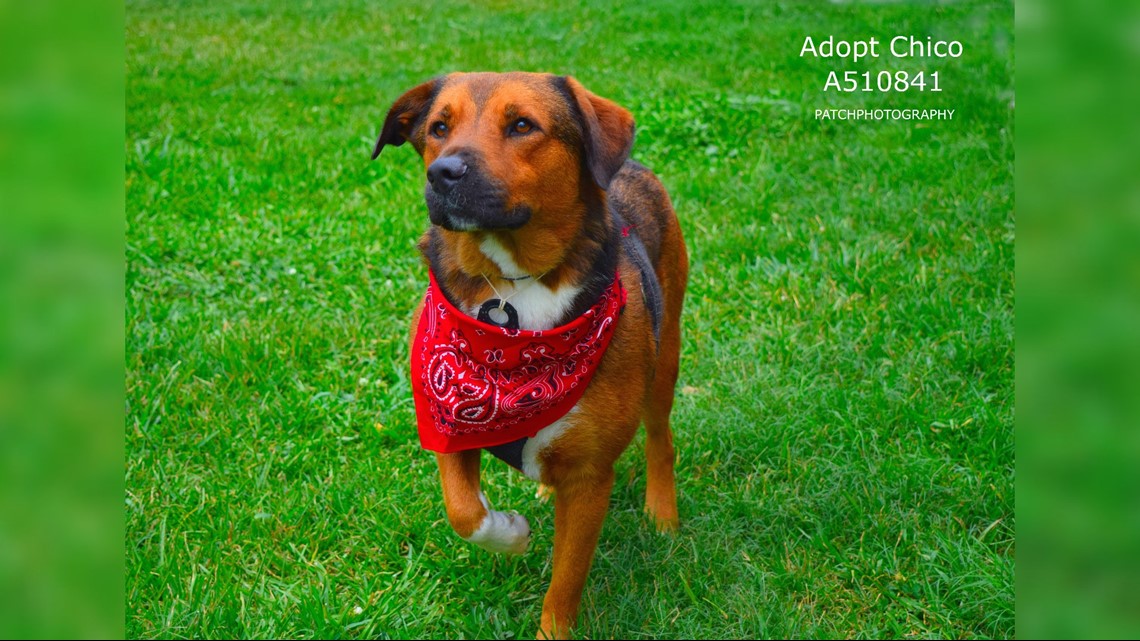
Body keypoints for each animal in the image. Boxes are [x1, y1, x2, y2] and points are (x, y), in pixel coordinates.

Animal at [373, 72, 684, 634]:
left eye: (522, 125)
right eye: (438, 128)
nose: (442, 172)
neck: (513, 287)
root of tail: (633, 165)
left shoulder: (590, 479)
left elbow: (566, 582)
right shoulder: (449, 418)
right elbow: (464, 512)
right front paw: (512, 533)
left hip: (665, 358)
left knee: (660, 441)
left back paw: (662, 515)